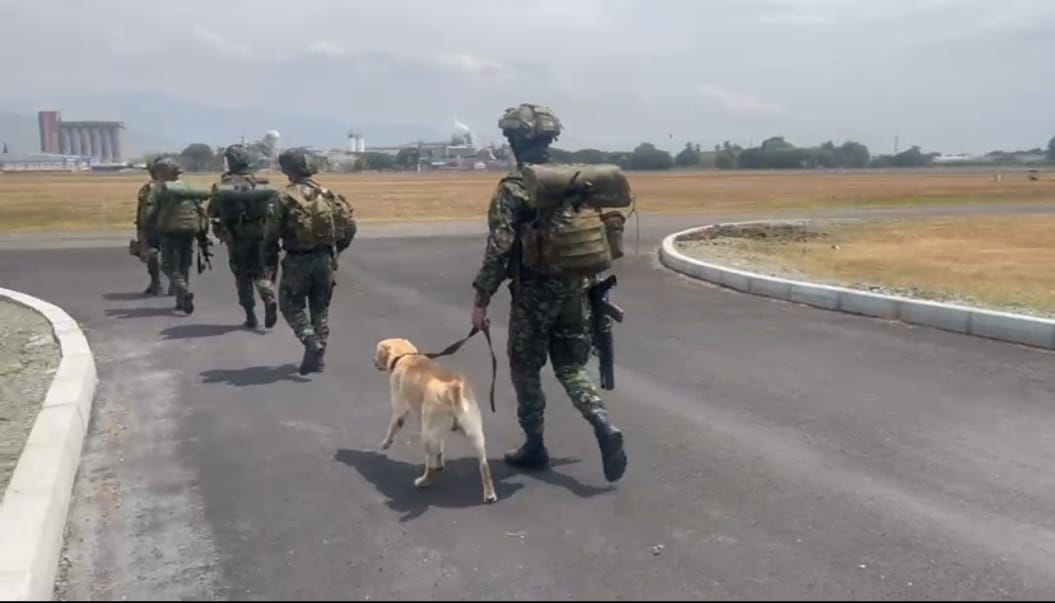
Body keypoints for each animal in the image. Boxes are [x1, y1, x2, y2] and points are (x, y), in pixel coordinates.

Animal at [375, 339, 497, 503]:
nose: (373, 361)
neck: (405, 356)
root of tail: (453, 389)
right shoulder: (438, 433)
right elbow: (440, 448)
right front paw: (441, 462)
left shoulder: (399, 409)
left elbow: (393, 427)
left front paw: (386, 443)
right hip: (474, 433)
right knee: (484, 466)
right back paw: (489, 494)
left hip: (427, 435)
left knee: (430, 466)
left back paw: (423, 481)